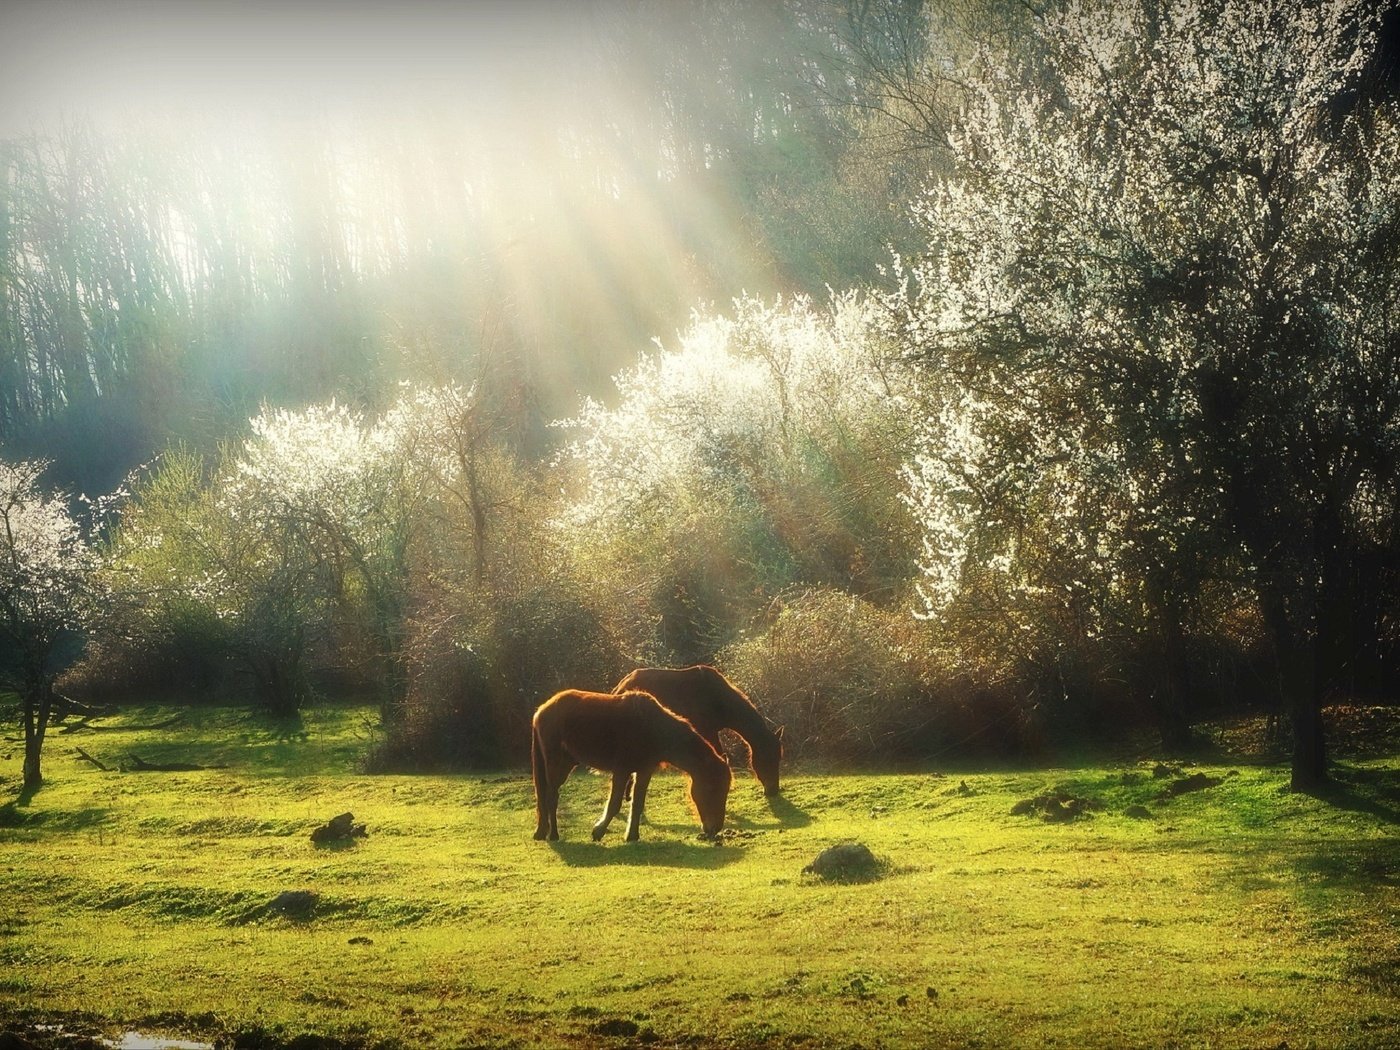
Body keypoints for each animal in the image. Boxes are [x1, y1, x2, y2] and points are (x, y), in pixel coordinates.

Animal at [526, 691, 733, 845]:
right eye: (712, 788)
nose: (715, 828)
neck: (652, 727)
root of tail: (541, 711)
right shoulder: (622, 770)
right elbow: (615, 803)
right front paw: (598, 831)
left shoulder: (643, 771)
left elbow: (637, 803)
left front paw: (632, 836)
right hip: (555, 765)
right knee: (551, 797)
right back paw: (553, 835)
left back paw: (542, 832)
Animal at [618, 666, 784, 795]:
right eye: (768, 759)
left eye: (779, 758)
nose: (773, 791)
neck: (717, 699)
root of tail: (621, 686)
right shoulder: (707, 732)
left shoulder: (712, 732)